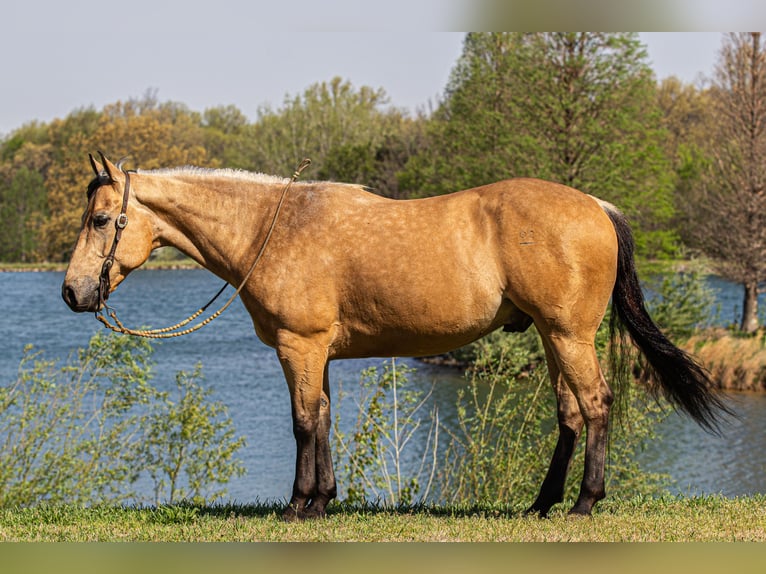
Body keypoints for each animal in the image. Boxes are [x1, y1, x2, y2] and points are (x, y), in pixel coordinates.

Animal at [62, 152, 729, 519]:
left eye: (101, 219)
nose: (72, 292)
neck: (273, 228)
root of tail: (595, 205)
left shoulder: (299, 346)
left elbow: (303, 422)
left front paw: (298, 506)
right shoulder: (318, 352)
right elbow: (323, 418)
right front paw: (324, 499)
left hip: (569, 335)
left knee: (594, 405)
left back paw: (586, 502)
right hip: (551, 337)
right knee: (569, 412)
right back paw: (542, 504)